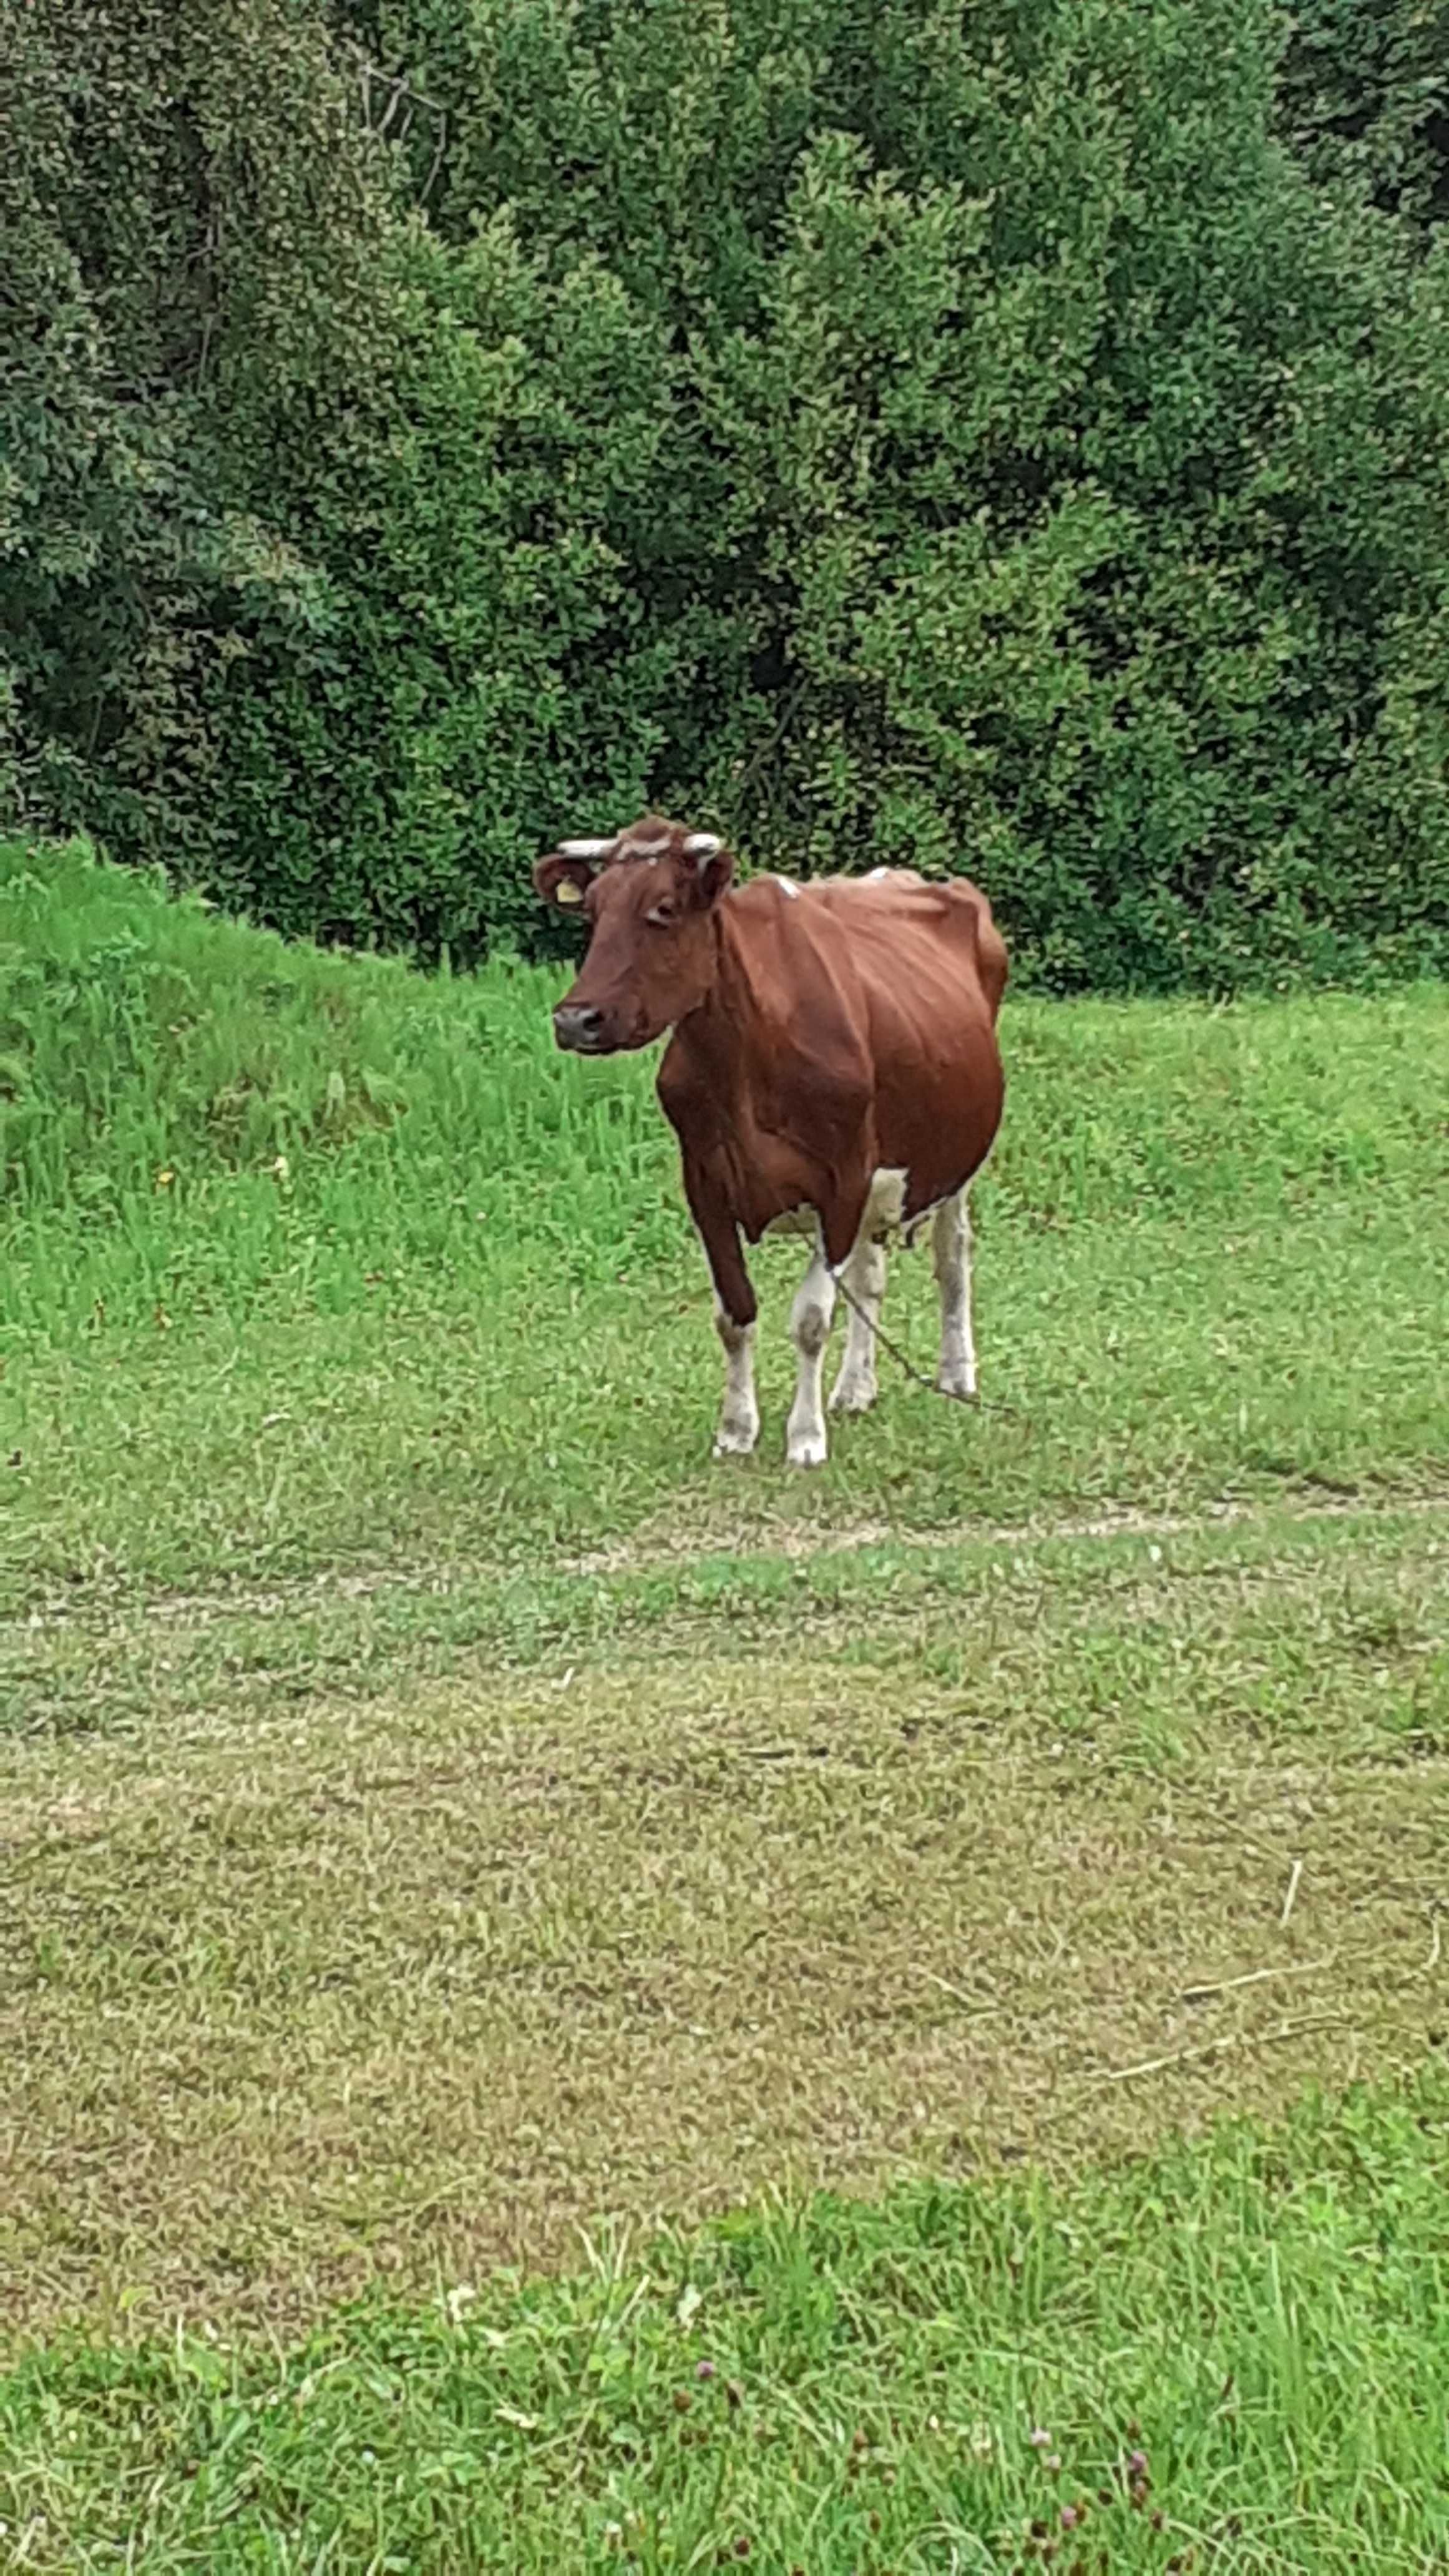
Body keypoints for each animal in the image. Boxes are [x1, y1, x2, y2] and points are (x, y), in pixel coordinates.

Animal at [534, 814, 1005, 1463]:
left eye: (663, 909)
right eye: (593, 910)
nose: (576, 1019)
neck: (746, 1063)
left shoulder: (842, 1181)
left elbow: (811, 1320)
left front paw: (805, 1437)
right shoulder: (705, 1185)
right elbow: (734, 1314)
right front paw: (736, 1429)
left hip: (955, 1162)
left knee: (952, 1257)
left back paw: (957, 1373)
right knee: (871, 1276)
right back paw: (855, 1388)